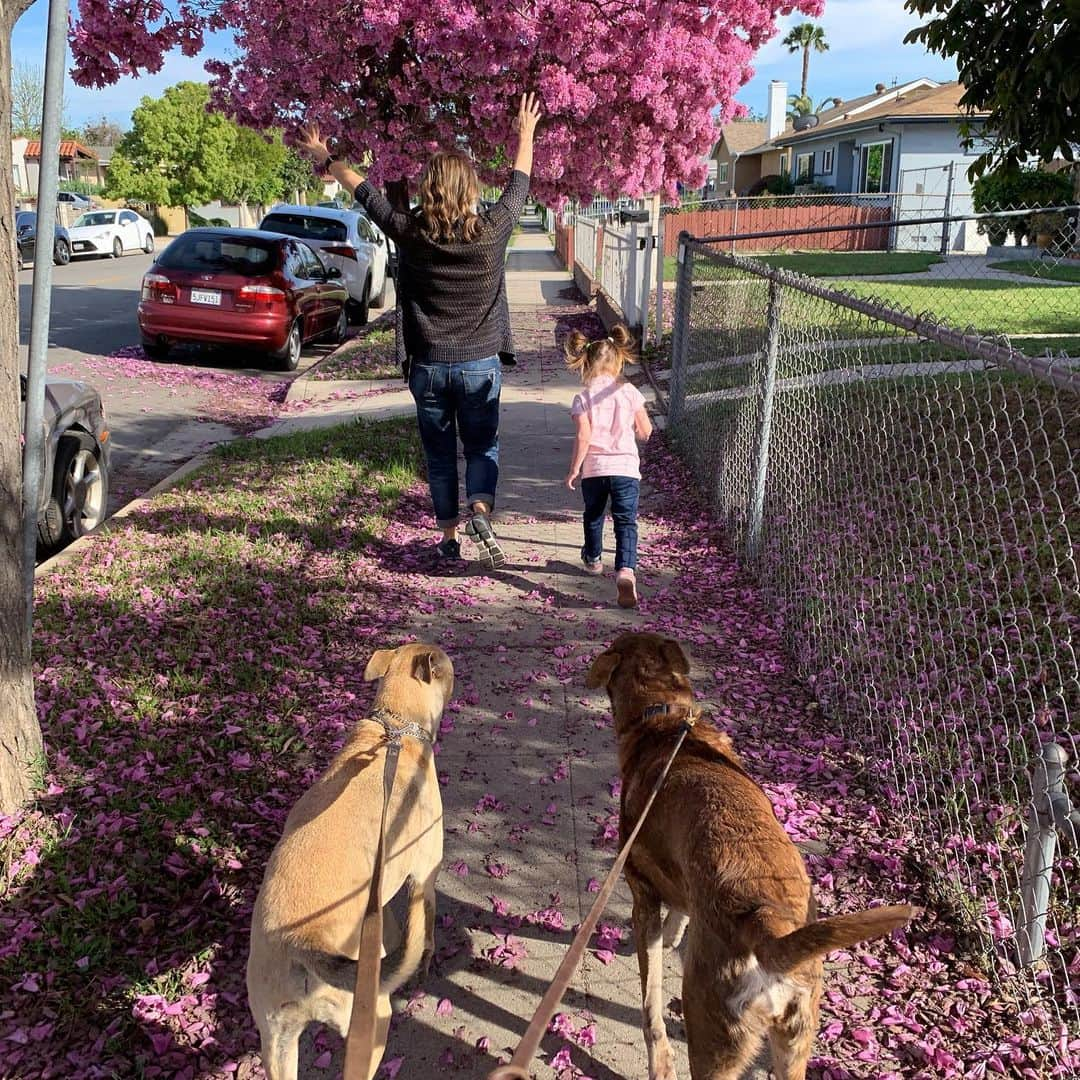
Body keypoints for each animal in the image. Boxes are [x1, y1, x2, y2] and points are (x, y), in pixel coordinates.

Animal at [247, 643, 453, 1075]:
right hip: (371, 1020)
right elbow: (426, 928)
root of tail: (301, 940)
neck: (395, 728)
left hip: (276, 1041)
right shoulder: (425, 875)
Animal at [587, 630, 915, 1080]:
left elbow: (651, 1006)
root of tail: (767, 925)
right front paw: (673, 936)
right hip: (795, 1039)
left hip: (712, 1032)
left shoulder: (642, 892)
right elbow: (681, 913)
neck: (664, 720)